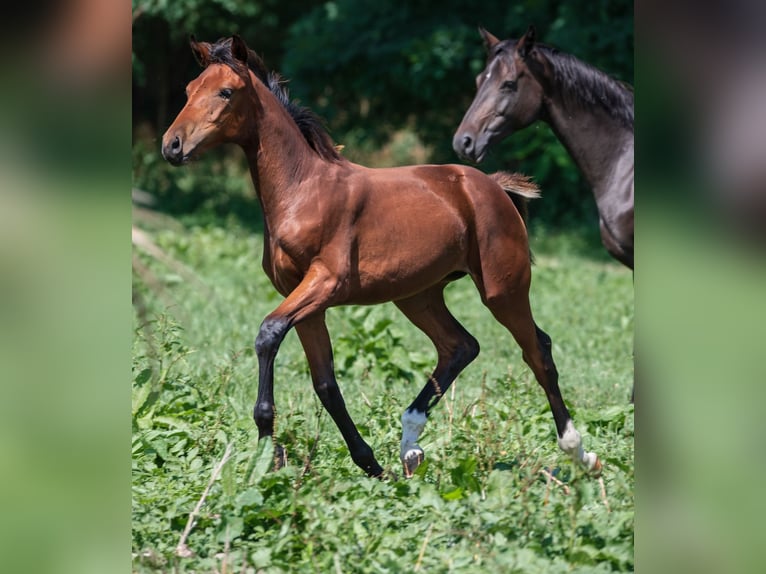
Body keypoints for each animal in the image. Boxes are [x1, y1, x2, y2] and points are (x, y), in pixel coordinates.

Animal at [164, 33, 608, 480]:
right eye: (188, 90)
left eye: (225, 91)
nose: (172, 146)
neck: (303, 190)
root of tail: (494, 187)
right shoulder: (304, 300)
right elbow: (325, 383)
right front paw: (369, 464)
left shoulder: (326, 282)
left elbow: (268, 334)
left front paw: (269, 454)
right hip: (417, 295)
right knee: (460, 346)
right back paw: (410, 446)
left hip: (503, 290)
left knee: (537, 351)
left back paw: (579, 452)